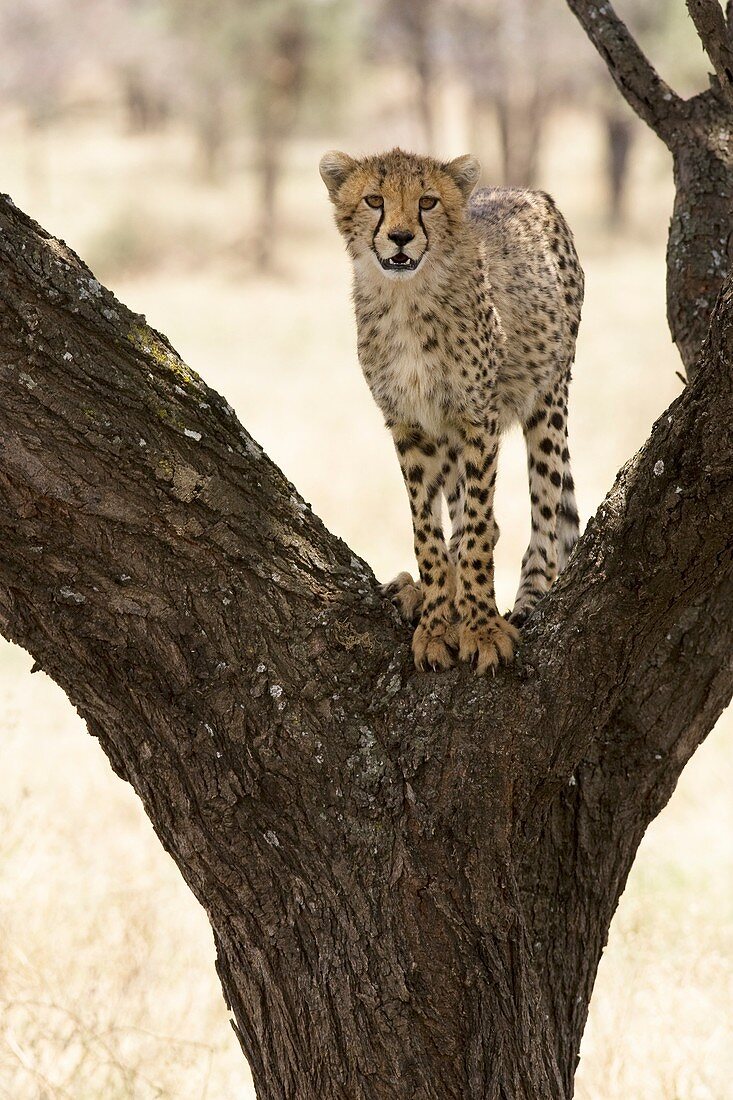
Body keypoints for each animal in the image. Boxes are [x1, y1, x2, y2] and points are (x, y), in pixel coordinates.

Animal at [319, 146, 581, 668]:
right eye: (374, 199)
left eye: (428, 202)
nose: (401, 237)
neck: (405, 299)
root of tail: (528, 191)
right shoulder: (411, 426)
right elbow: (428, 531)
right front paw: (438, 622)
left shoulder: (478, 418)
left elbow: (478, 529)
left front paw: (482, 627)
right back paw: (420, 592)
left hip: (548, 394)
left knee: (544, 513)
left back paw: (528, 599)